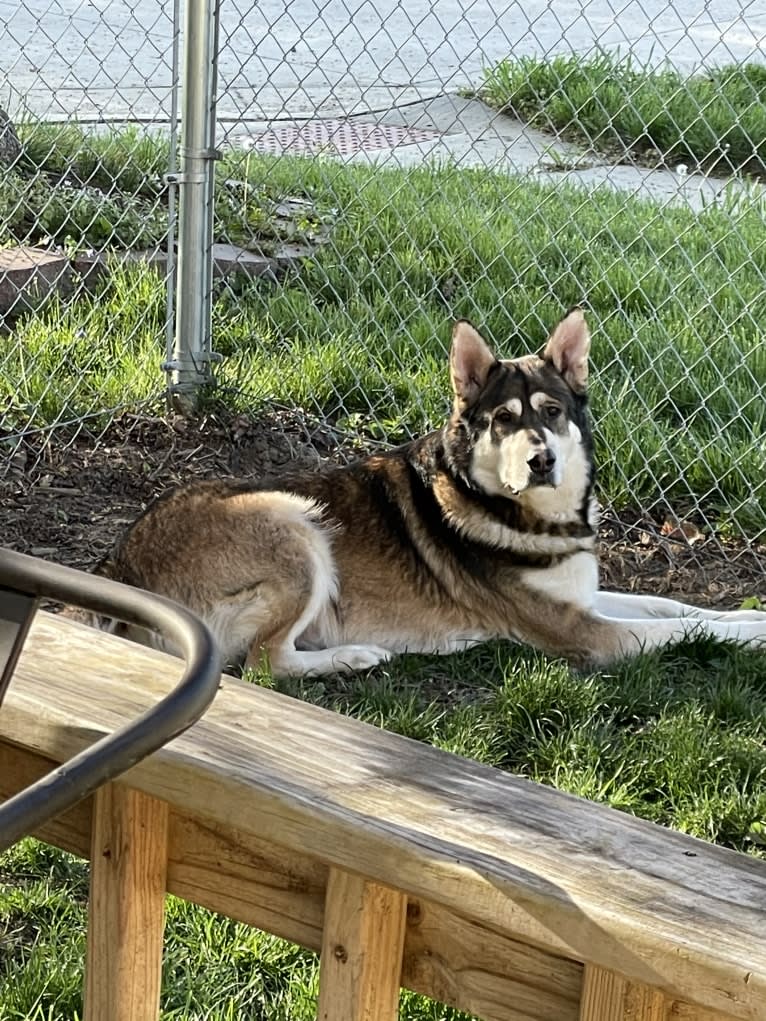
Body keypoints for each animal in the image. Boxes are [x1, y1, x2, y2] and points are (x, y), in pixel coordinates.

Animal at [83, 308, 766, 677]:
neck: (525, 513)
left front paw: (748, 615)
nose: (541, 460)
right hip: (298, 526)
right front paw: (753, 636)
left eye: (551, 412)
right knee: (266, 663)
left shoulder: (586, 598)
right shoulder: (588, 634)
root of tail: (121, 565)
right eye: (502, 421)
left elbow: (677, 610)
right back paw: (358, 656)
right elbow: (677, 633)